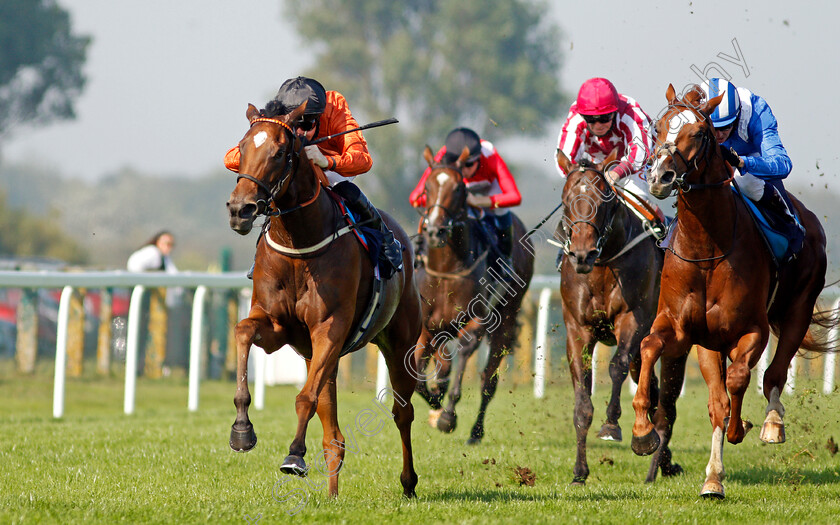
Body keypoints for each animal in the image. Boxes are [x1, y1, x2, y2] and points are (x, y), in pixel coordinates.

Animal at [225, 103, 424, 500]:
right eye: (242, 147)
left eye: (280, 153)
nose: (240, 210)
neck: (299, 244)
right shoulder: (277, 327)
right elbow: (242, 332)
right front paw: (242, 429)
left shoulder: (329, 328)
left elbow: (305, 398)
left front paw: (294, 455)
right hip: (322, 357)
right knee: (334, 434)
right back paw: (332, 494)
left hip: (399, 343)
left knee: (402, 412)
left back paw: (408, 483)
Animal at [410, 145, 536, 444]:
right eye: (427, 187)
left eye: (458, 188)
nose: (435, 230)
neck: (446, 269)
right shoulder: (427, 327)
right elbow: (419, 377)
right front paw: (436, 400)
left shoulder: (479, 319)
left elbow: (466, 352)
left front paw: (446, 416)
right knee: (443, 359)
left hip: (507, 316)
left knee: (488, 381)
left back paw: (475, 432)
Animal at [552, 150, 684, 484]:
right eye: (566, 199)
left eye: (603, 200)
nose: (582, 255)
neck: (602, 266)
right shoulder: (577, 330)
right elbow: (582, 400)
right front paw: (579, 471)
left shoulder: (633, 320)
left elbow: (616, 367)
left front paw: (611, 425)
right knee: (653, 392)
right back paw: (661, 455)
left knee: (666, 405)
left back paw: (655, 464)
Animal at [632, 84, 836, 498]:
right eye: (658, 127)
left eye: (699, 133)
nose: (661, 175)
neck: (708, 248)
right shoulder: (683, 328)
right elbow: (649, 347)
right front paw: (643, 431)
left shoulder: (752, 329)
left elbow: (740, 380)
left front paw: (741, 428)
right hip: (711, 343)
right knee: (717, 400)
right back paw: (713, 477)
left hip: (798, 309)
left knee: (774, 374)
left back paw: (772, 423)